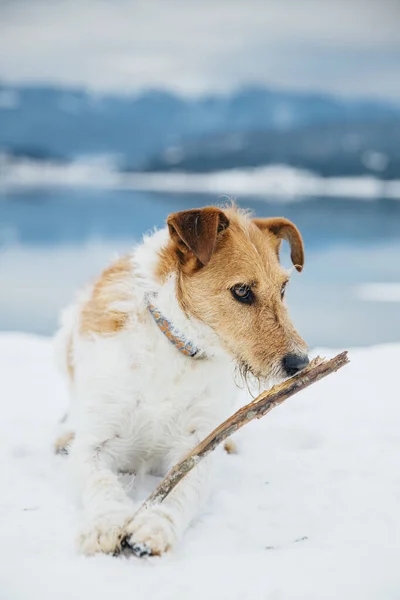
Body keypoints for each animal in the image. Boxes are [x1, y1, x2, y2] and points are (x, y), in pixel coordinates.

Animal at [54, 204, 310, 556]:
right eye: (242, 291)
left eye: (283, 289)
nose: (301, 363)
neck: (178, 351)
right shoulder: (95, 443)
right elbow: (100, 481)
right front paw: (104, 522)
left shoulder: (197, 446)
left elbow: (181, 490)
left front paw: (155, 525)